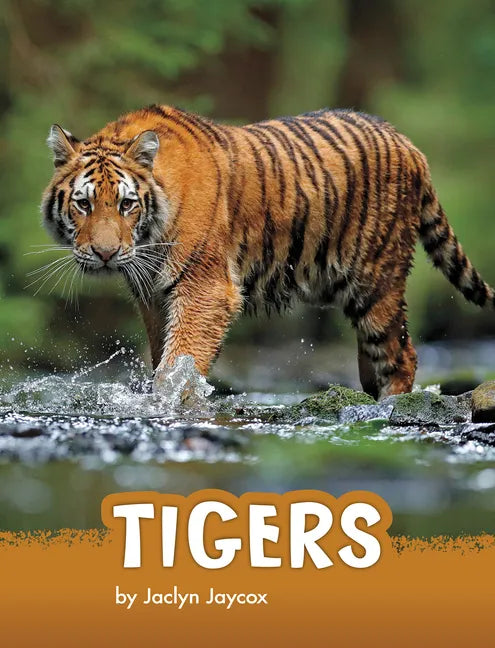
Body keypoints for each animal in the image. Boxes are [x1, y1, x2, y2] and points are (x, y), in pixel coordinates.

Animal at [41, 104, 494, 399]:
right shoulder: (152, 295)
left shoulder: (205, 288)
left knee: (402, 355)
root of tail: (408, 143)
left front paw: (169, 400)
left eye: (125, 204)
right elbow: (161, 354)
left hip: (377, 280)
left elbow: (178, 361)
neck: (149, 237)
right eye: (83, 204)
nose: (105, 253)